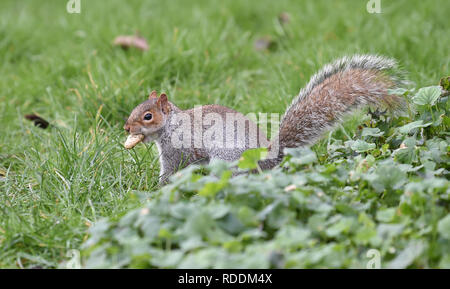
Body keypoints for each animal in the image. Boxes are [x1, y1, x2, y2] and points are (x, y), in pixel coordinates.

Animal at [124, 54, 408, 182]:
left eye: (148, 116)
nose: (126, 127)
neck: (172, 125)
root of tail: (271, 160)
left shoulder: (178, 149)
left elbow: (171, 171)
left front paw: (157, 191)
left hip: (227, 160)